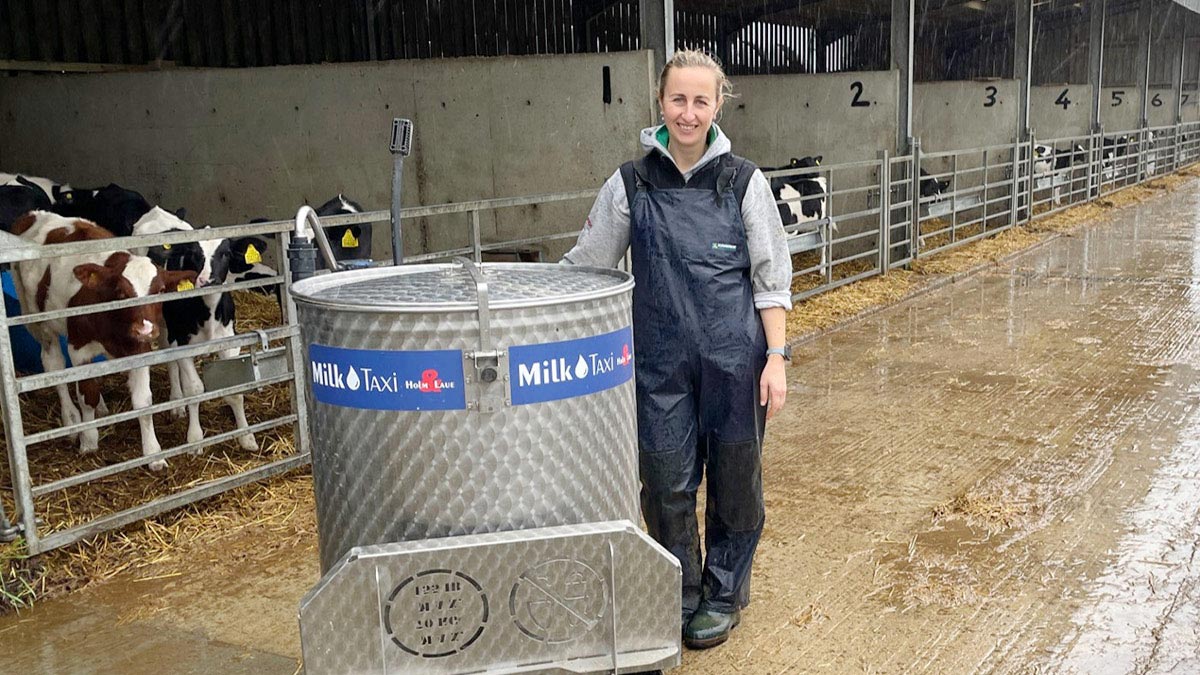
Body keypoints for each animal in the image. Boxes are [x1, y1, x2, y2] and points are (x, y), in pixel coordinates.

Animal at [10, 210, 193, 468]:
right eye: (121, 292)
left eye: (158, 291)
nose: (145, 330)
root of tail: (33, 215)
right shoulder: (79, 348)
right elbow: (87, 395)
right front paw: (88, 441)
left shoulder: (139, 349)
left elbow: (143, 401)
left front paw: (154, 453)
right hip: (39, 322)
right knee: (54, 365)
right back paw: (71, 419)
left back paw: (102, 409)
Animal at [131, 208, 258, 451]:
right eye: (194, 253)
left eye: (226, 253)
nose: (208, 280)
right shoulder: (180, 340)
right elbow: (194, 389)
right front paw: (195, 438)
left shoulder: (229, 340)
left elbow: (235, 389)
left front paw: (247, 436)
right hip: (164, 326)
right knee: (170, 360)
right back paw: (177, 402)